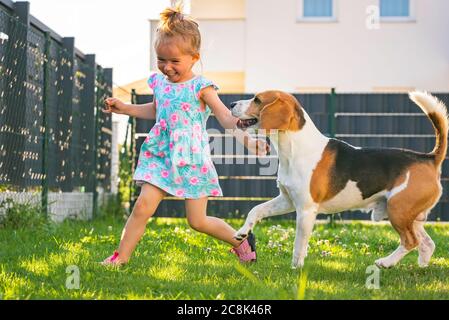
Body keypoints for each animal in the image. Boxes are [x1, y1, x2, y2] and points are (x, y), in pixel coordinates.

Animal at [229, 91, 446, 268]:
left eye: (257, 99)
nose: (231, 104)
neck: (293, 148)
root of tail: (428, 157)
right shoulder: (287, 200)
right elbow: (256, 209)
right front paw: (243, 232)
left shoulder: (306, 210)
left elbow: (299, 244)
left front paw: (296, 270)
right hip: (408, 214)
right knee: (427, 243)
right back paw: (420, 268)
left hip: (398, 210)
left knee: (411, 241)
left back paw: (386, 262)